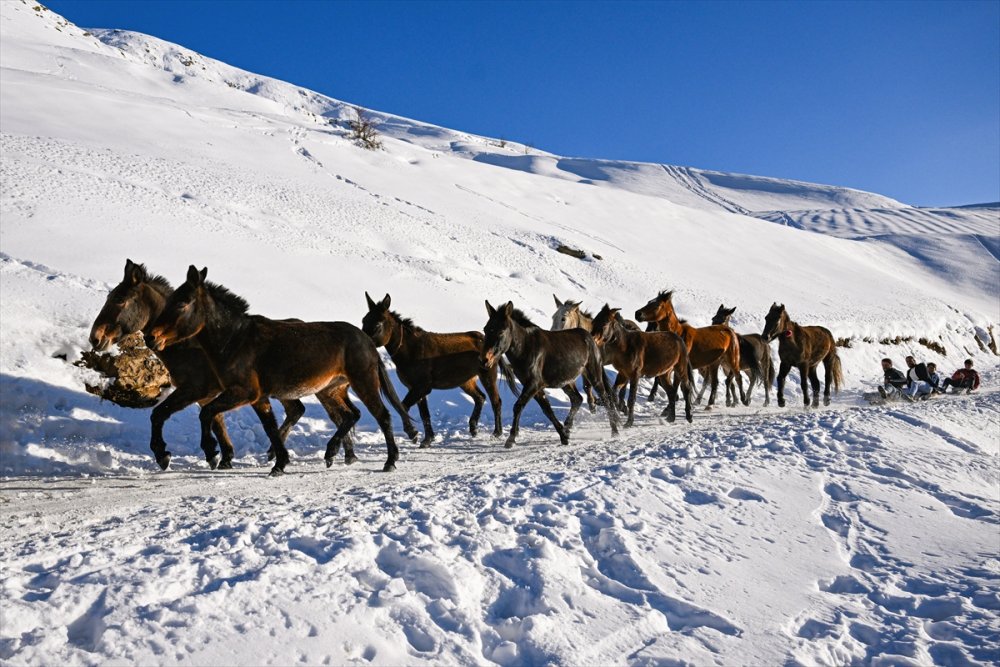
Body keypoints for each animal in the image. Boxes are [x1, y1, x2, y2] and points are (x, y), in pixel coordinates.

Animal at [90, 258, 308, 472]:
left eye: (119, 300)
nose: (95, 338)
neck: (186, 346)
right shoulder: (207, 396)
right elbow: (216, 423)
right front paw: (222, 457)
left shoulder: (195, 390)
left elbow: (159, 414)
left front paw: (164, 455)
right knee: (296, 409)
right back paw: (273, 452)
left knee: (296, 410)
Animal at [146, 266, 416, 474]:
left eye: (182, 303)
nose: (151, 338)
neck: (235, 341)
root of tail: (367, 341)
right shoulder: (258, 397)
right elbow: (270, 428)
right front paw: (279, 463)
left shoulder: (242, 392)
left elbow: (206, 413)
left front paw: (210, 452)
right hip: (331, 390)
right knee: (351, 416)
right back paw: (331, 453)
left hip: (363, 383)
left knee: (382, 416)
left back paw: (390, 461)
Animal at [362, 294, 504, 446]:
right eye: (364, 320)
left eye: (378, 324)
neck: (410, 351)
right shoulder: (416, 388)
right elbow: (424, 414)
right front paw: (427, 439)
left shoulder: (422, 386)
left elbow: (403, 407)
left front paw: (413, 433)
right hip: (466, 381)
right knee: (480, 397)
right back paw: (473, 428)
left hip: (487, 375)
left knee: (496, 401)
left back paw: (497, 433)